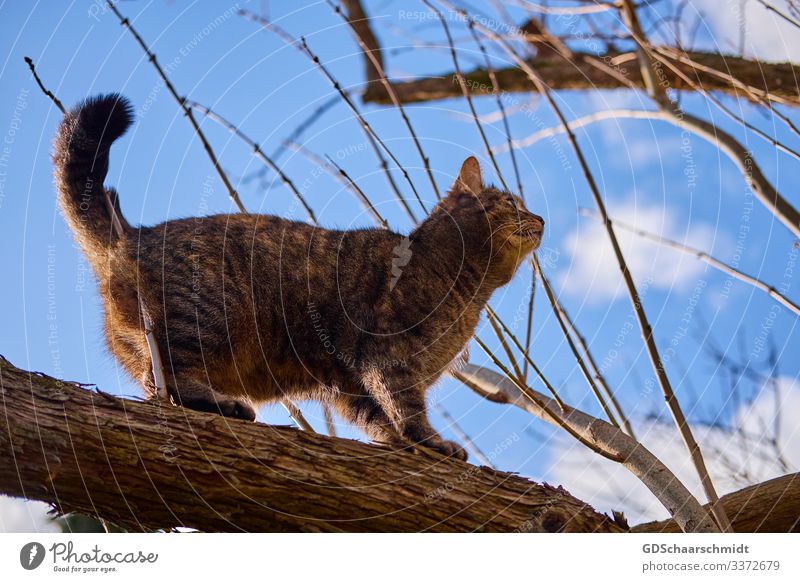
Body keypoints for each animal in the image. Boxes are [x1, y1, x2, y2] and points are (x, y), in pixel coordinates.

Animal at [53, 94, 544, 460]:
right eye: (513, 203)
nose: (540, 217)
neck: (469, 293)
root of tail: (130, 236)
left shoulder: (347, 382)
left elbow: (376, 418)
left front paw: (398, 441)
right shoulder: (387, 355)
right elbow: (407, 410)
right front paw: (431, 442)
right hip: (208, 318)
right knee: (167, 382)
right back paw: (224, 403)